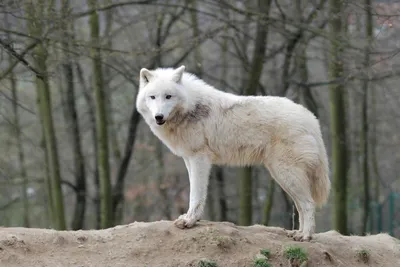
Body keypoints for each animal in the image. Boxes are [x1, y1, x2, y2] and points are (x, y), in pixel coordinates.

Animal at [136, 65, 330, 243]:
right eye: (152, 97)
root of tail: (311, 118)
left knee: (308, 204)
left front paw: (190, 221)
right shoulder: (189, 158)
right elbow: (194, 192)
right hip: (282, 176)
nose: (159, 117)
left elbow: (195, 194)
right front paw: (190, 218)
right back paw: (298, 233)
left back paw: (306, 236)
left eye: (168, 96)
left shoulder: (199, 158)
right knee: (301, 205)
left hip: (286, 174)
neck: (191, 107)